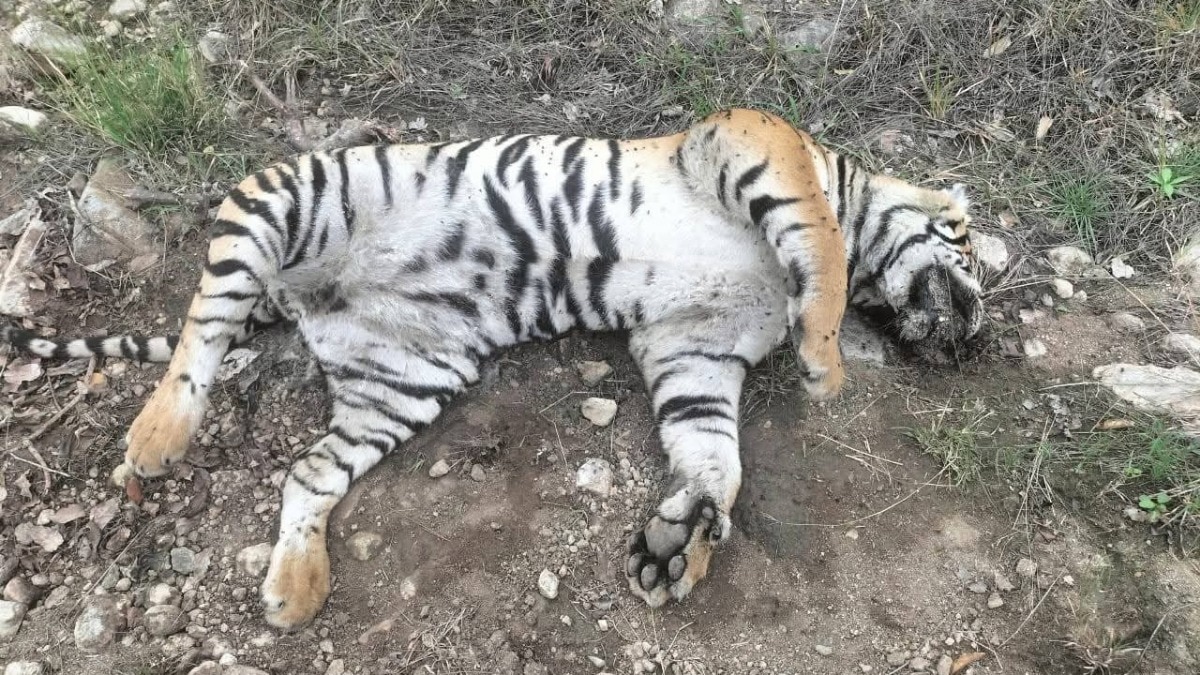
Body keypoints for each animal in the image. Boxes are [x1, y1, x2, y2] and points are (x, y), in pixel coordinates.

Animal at [3, 108, 984, 630]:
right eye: (972, 245)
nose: (974, 335)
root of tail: (303, 299)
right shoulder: (753, 142)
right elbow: (819, 245)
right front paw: (826, 364)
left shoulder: (693, 351)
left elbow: (715, 457)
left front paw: (683, 542)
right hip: (287, 197)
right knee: (200, 328)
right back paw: (158, 436)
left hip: (404, 379)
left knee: (307, 473)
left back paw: (295, 590)